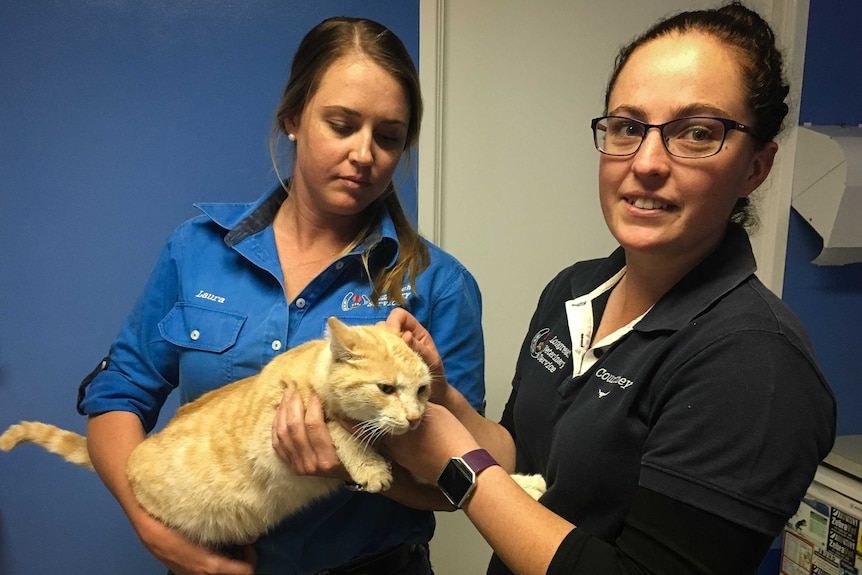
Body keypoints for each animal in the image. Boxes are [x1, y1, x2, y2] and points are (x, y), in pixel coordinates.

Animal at [0, 318, 436, 548]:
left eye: (422, 390)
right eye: (386, 389)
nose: (416, 419)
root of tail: (134, 454)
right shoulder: (275, 422)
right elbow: (341, 428)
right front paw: (369, 464)